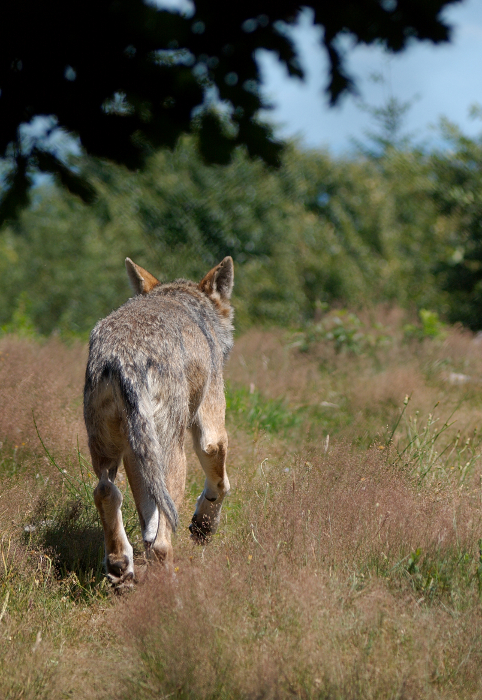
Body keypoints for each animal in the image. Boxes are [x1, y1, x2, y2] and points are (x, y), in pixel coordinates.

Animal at [84, 258, 234, 584]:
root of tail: (124, 357)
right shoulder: (212, 432)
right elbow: (220, 484)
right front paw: (204, 526)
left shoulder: (135, 454)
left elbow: (148, 514)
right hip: (172, 453)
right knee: (164, 544)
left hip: (109, 450)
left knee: (105, 492)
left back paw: (120, 569)